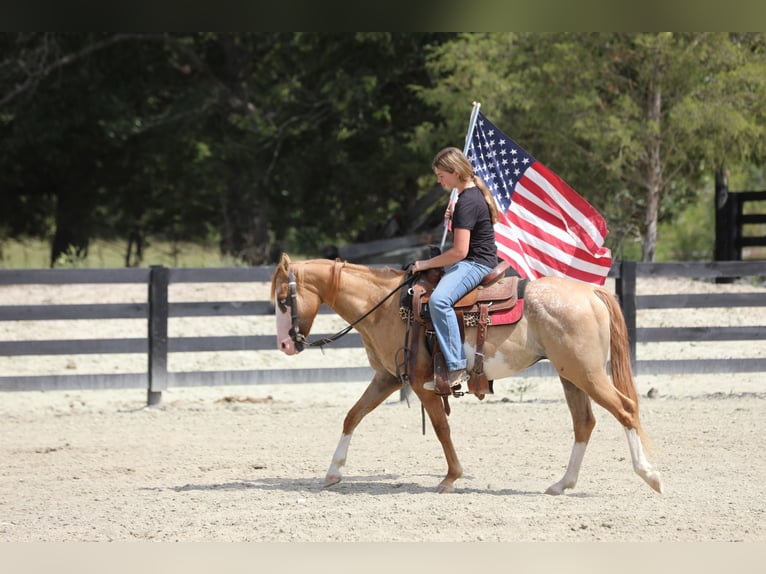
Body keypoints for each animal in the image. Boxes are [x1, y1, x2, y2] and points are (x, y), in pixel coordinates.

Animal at [271, 253, 663, 495]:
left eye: (283, 299)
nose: (286, 345)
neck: (387, 306)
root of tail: (591, 292)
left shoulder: (422, 383)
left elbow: (441, 429)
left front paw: (450, 478)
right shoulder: (387, 378)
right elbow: (352, 415)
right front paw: (333, 472)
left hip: (588, 374)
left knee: (625, 410)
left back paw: (650, 475)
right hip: (571, 375)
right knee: (584, 423)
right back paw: (561, 484)